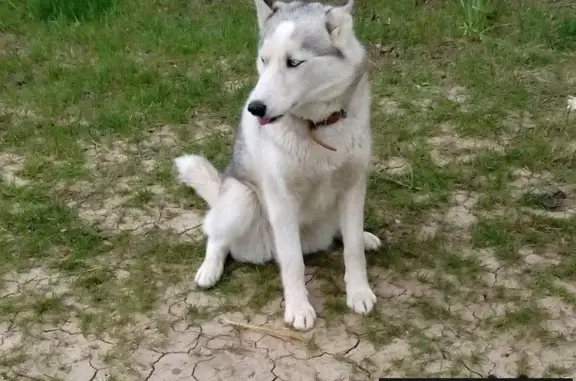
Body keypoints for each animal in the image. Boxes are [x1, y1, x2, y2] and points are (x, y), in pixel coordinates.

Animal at [176, 0, 382, 330]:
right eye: (264, 60)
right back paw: (210, 268)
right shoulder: (283, 201)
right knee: (216, 235)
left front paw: (359, 291)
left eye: (294, 62)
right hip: (242, 200)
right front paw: (298, 308)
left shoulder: (353, 188)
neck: (317, 128)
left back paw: (364, 237)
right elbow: (293, 262)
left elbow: (352, 251)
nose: (255, 108)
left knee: (342, 233)